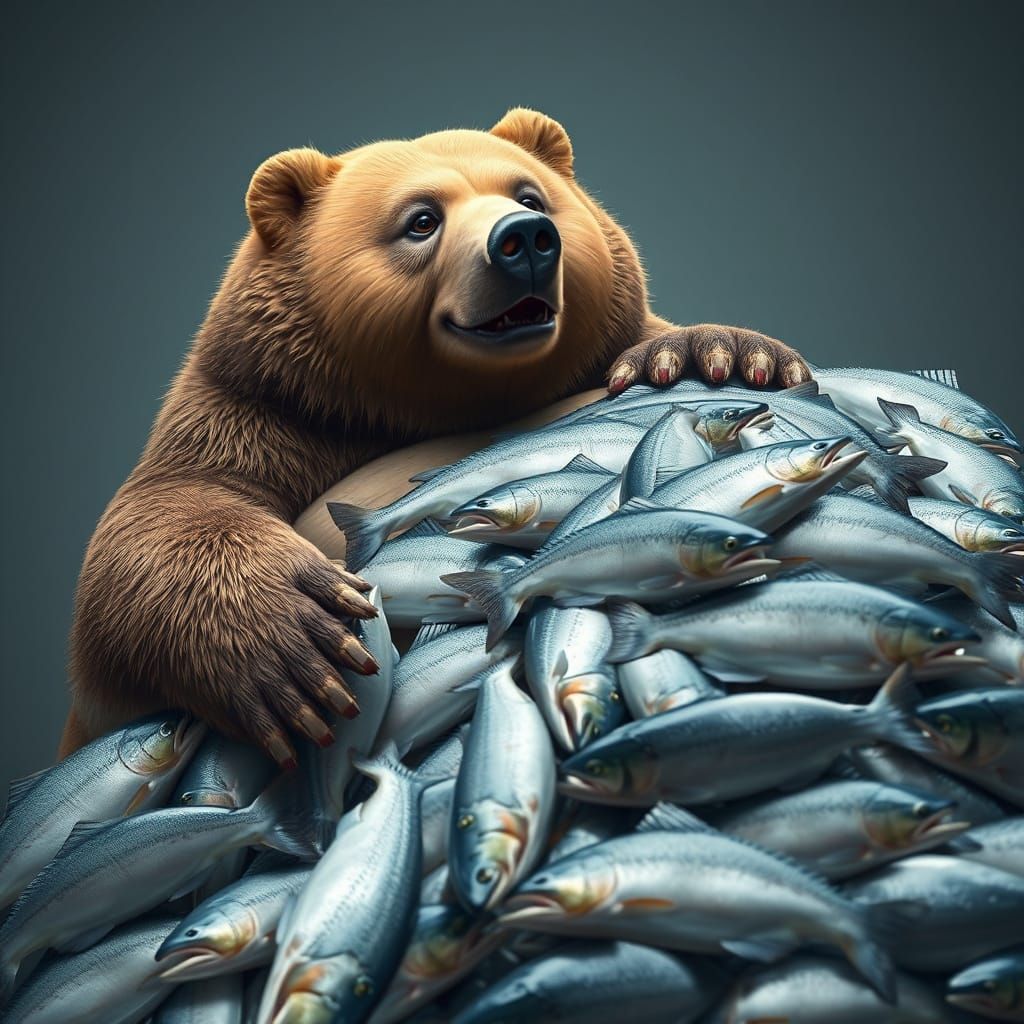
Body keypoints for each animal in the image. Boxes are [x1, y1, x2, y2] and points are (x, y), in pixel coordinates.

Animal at [64, 108, 812, 769]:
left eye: (529, 193)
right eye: (421, 219)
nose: (526, 238)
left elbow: (670, 344)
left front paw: (721, 355)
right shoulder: (264, 413)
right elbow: (160, 519)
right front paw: (297, 641)